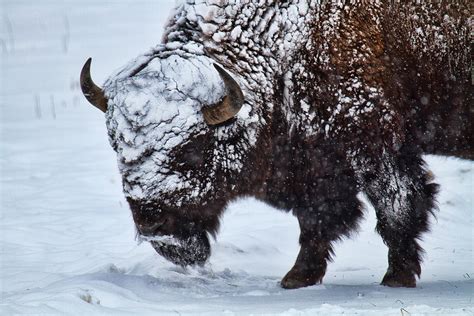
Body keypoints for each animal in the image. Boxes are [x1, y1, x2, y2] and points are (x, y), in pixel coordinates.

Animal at [80, 1, 470, 288]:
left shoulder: (376, 143)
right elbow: (316, 219)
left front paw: (397, 277)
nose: (153, 225)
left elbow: (397, 205)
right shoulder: (317, 161)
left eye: (191, 149)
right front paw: (297, 278)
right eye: (116, 144)